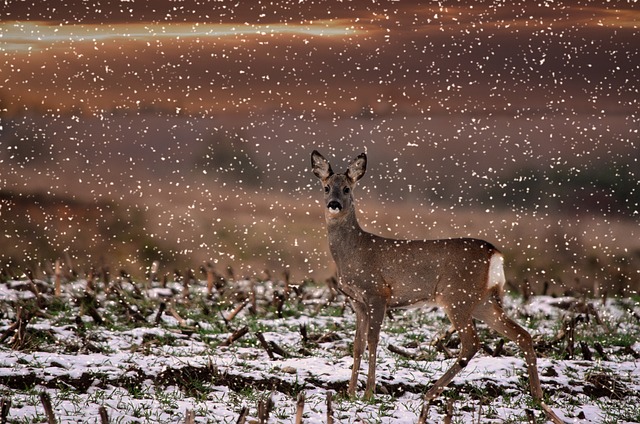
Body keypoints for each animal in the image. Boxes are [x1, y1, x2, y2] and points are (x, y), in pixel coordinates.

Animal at [312, 151, 564, 422]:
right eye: (326, 187)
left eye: (347, 189)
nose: (334, 204)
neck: (355, 252)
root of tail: (495, 254)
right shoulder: (356, 300)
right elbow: (357, 344)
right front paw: (349, 393)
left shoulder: (378, 293)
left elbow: (373, 340)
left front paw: (368, 393)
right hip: (482, 301)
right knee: (522, 334)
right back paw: (538, 398)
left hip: (456, 296)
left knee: (472, 343)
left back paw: (431, 392)